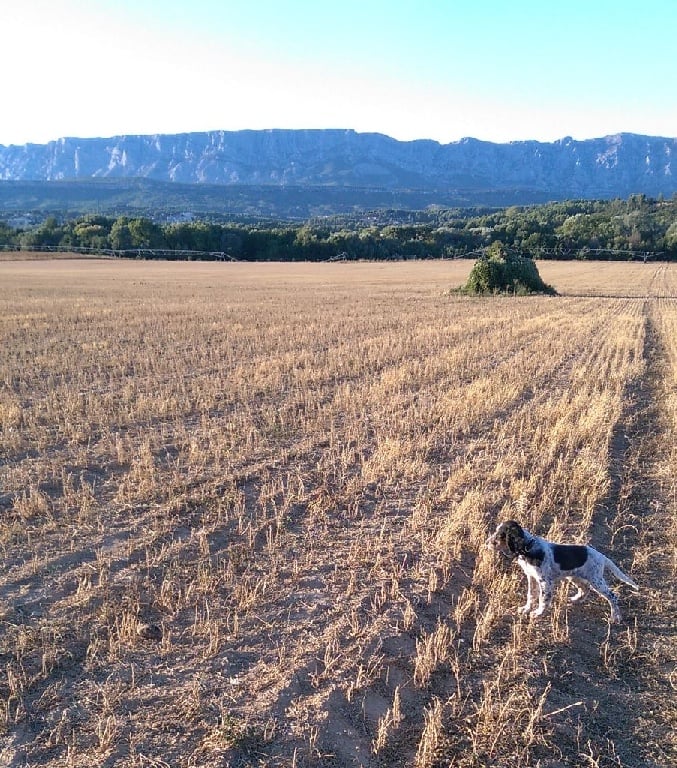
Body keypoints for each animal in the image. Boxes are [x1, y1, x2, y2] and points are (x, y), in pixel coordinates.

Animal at [484, 520, 636, 624]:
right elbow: (530, 595)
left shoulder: (545, 581)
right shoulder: (531, 577)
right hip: (576, 576)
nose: (486, 543)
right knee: (585, 588)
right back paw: (575, 599)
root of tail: (602, 557)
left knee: (612, 596)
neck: (528, 548)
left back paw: (615, 617)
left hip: (596, 580)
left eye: (500, 535)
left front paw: (538, 613)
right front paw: (526, 609)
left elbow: (543, 599)